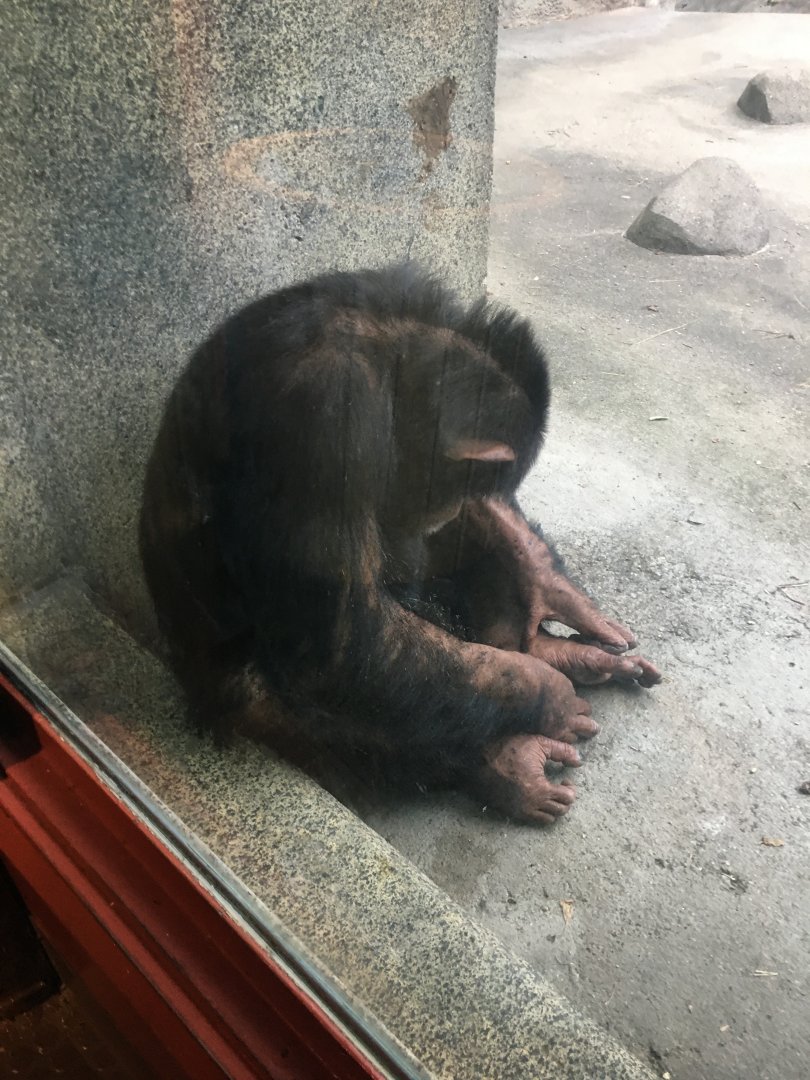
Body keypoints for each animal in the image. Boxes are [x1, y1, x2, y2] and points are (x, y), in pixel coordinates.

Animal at [139, 264, 660, 824]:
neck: (387, 364)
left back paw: (565, 655)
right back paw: (512, 759)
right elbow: (344, 645)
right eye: (459, 481)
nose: (451, 505)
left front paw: (552, 591)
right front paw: (547, 695)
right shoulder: (326, 420)